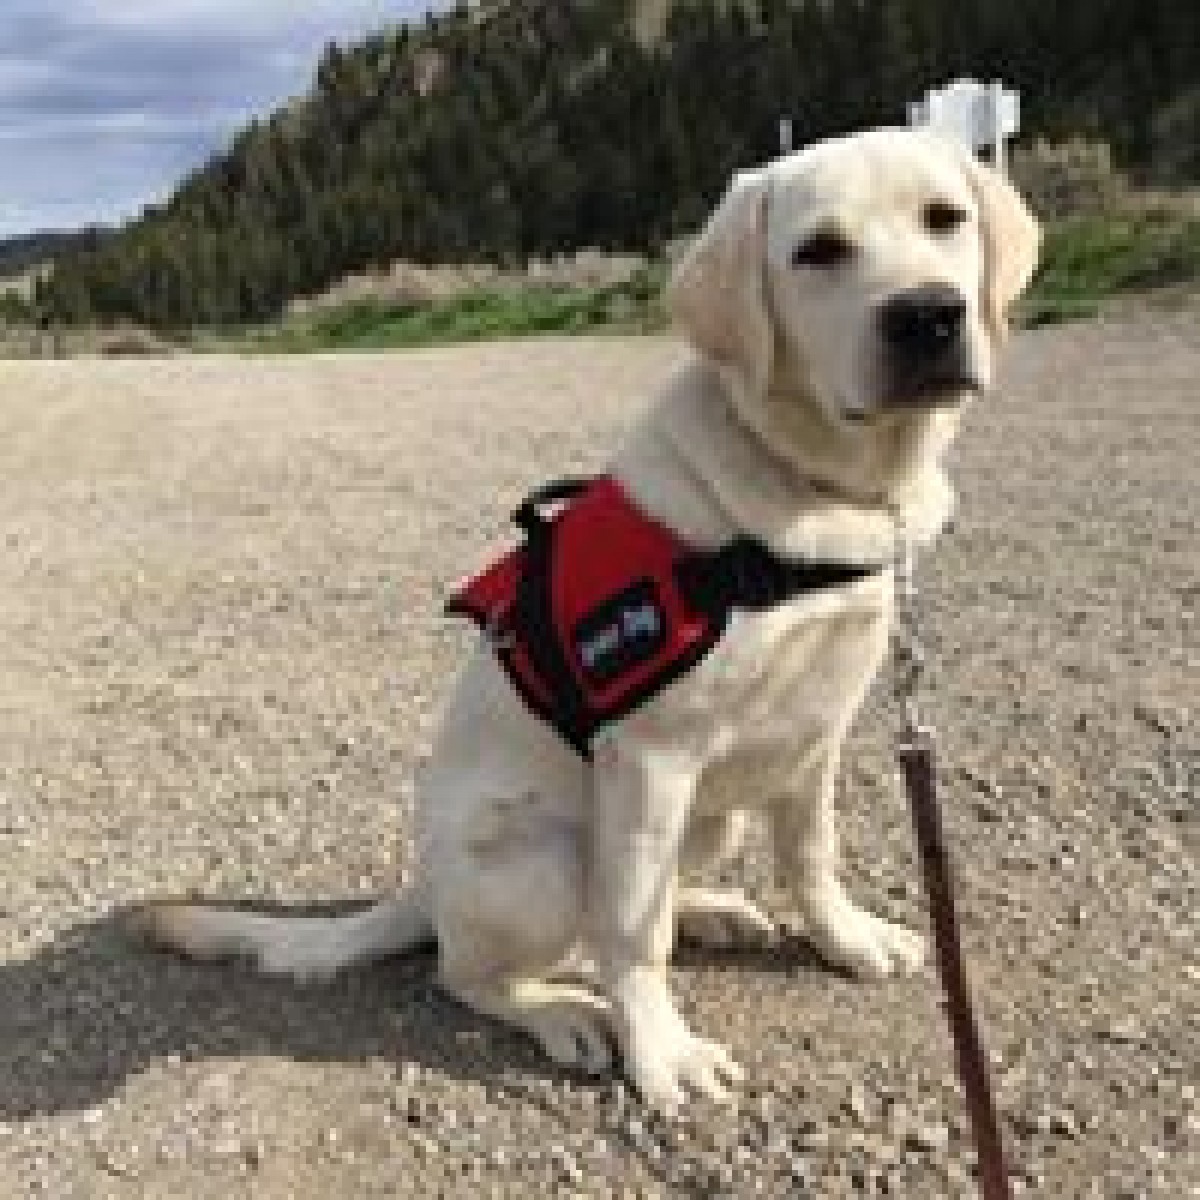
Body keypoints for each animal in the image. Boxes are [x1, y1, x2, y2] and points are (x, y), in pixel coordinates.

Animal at [138, 128, 1040, 1113]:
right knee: (477, 971)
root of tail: (420, 886)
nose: (929, 316)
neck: (822, 493)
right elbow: (633, 936)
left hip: (709, 819)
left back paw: (712, 915)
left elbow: (810, 853)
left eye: (945, 218)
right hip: (548, 852)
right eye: (818, 251)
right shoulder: (650, 756)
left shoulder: (816, 732)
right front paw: (664, 1053)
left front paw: (844, 937)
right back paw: (565, 1010)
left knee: (636, 910)